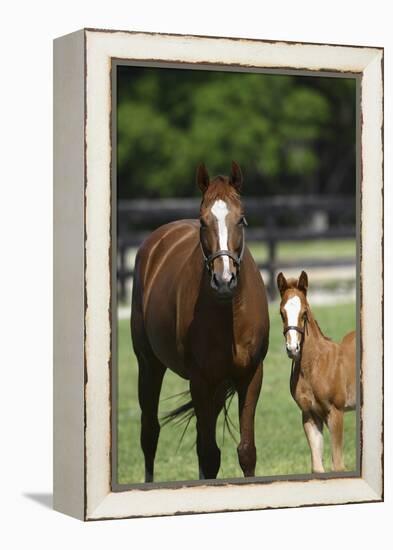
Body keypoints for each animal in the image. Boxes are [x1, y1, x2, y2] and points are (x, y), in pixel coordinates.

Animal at [276, 272, 356, 474]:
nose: (292, 348)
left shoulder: (336, 412)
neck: (314, 367)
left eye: (304, 313)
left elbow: (338, 466)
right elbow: (317, 468)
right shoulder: (310, 415)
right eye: (281, 313)